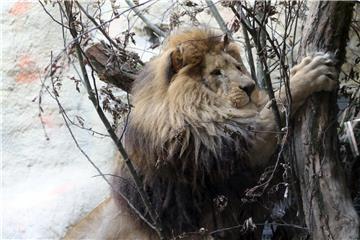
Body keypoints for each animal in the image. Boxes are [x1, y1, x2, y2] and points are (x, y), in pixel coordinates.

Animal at [64, 29, 338, 239]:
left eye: (238, 67)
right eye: (216, 73)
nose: (250, 87)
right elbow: (275, 104)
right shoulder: (228, 149)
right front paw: (308, 74)